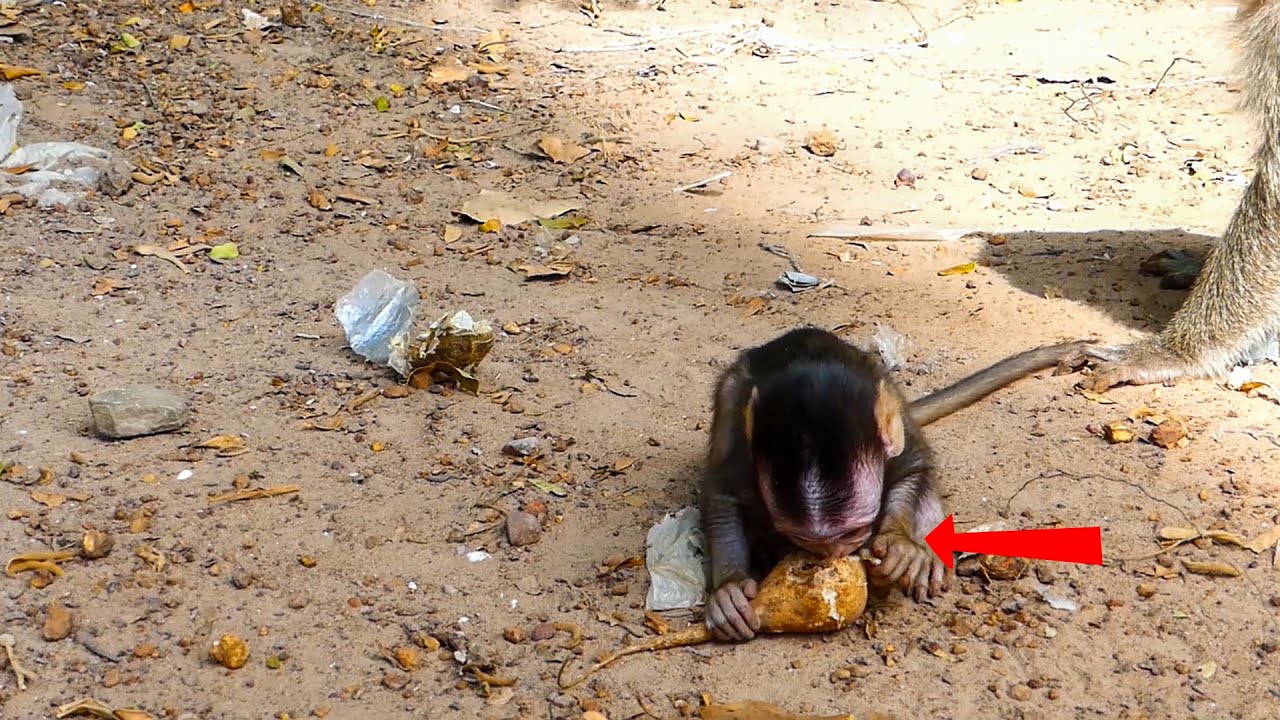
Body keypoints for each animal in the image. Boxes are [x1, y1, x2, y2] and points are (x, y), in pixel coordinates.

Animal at [698, 327, 1093, 642]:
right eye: (803, 539)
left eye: (854, 532)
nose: (830, 559)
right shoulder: (737, 427)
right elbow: (722, 494)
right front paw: (729, 589)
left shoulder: (889, 405)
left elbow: (912, 468)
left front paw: (899, 546)